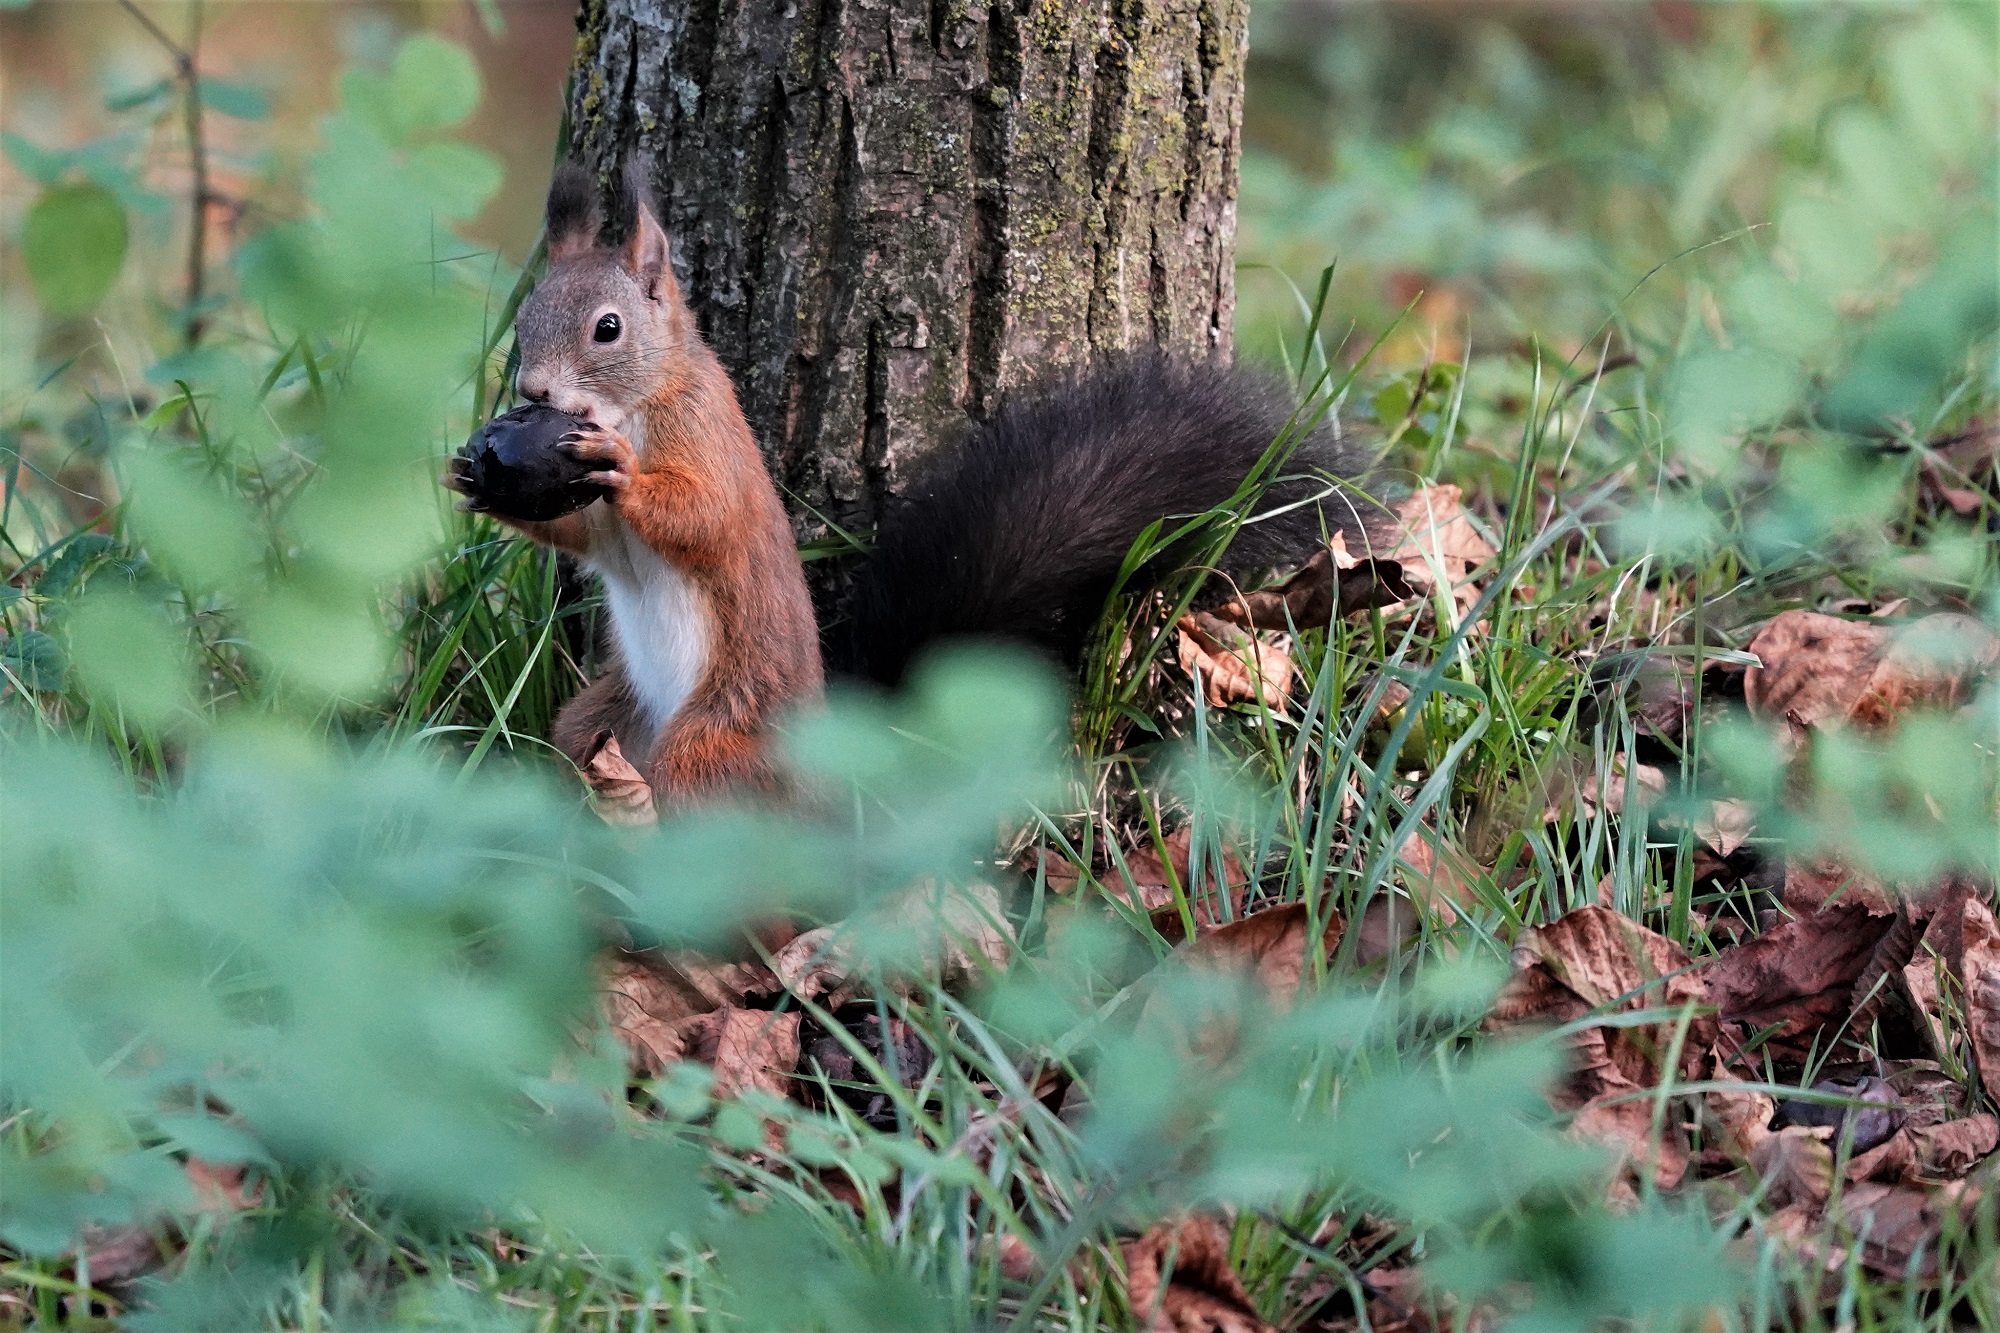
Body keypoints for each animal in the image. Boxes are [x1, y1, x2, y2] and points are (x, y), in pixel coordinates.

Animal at [446, 163, 1375, 806]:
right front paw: (475, 479)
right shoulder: (596, 523)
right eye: (525, 319)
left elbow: (704, 517)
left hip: (715, 739)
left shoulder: (708, 443)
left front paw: (625, 470)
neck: (639, 401)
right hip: (604, 718)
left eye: (607, 329)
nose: (532, 391)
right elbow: (587, 539)